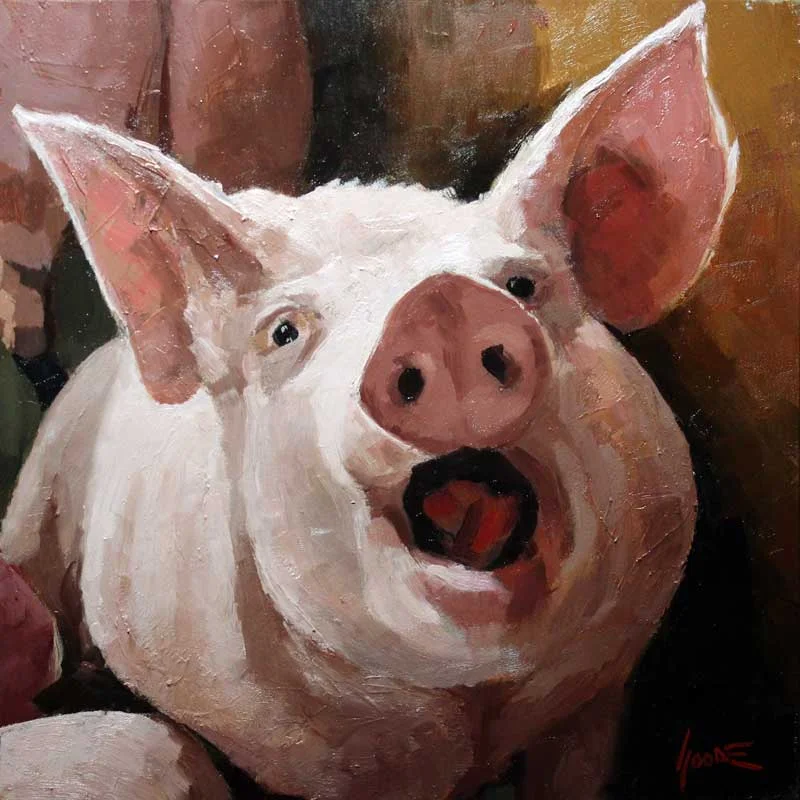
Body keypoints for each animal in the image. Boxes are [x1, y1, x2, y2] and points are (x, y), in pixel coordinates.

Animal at [0, 4, 737, 798]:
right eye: (283, 331)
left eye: (523, 285)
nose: (443, 305)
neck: (465, 713)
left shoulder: (599, 690)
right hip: (40, 495)